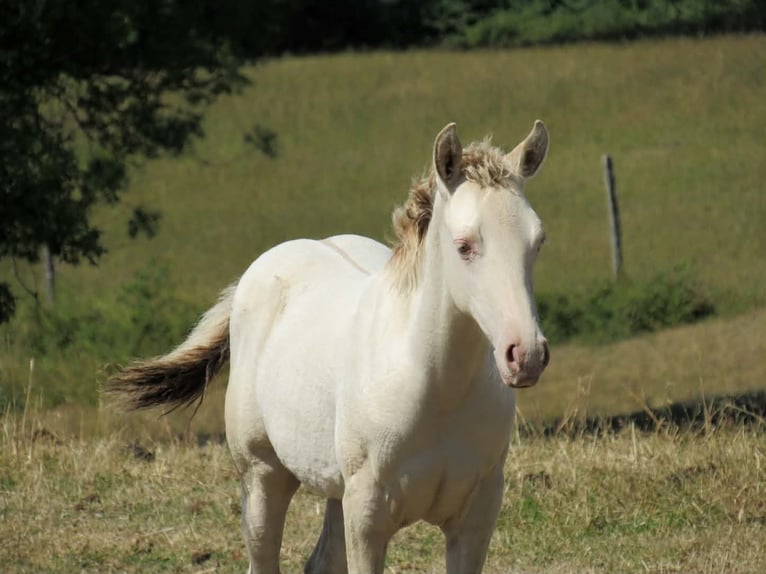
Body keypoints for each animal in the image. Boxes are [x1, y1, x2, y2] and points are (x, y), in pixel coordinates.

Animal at [107, 120, 551, 574]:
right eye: (464, 245)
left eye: (537, 242)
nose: (526, 355)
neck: (435, 387)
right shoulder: (367, 516)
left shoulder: (476, 515)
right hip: (262, 479)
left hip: (335, 492)